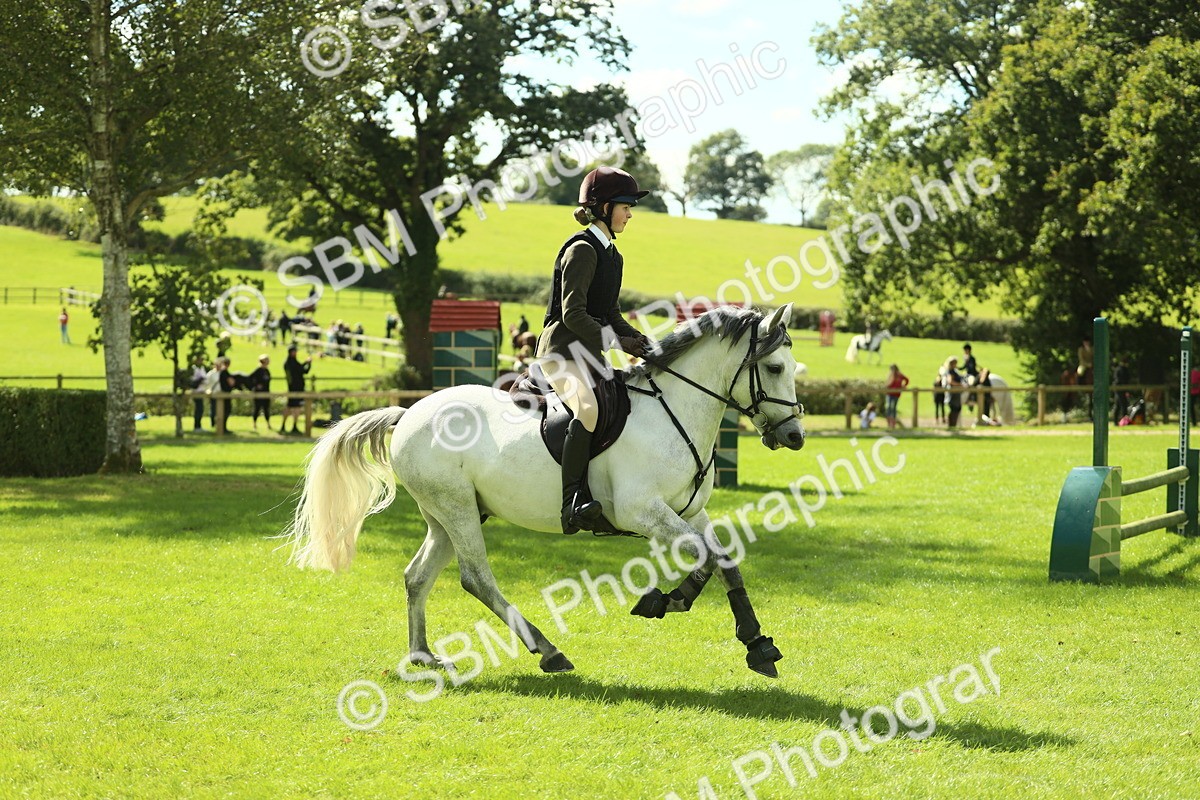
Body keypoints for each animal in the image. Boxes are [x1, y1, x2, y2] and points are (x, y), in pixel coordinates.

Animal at [283, 305, 806, 679]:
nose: (796, 436)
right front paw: (665, 602)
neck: (673, 410)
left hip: (447, 514)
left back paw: (423, 657)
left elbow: (723, 560)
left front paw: (755, 643)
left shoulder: (690, 512)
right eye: (775, 367)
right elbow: (710, 557)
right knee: (476, 578)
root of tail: (409, 412)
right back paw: (548, 651)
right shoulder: (642, 511)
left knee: (417, 576)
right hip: (457, 509)